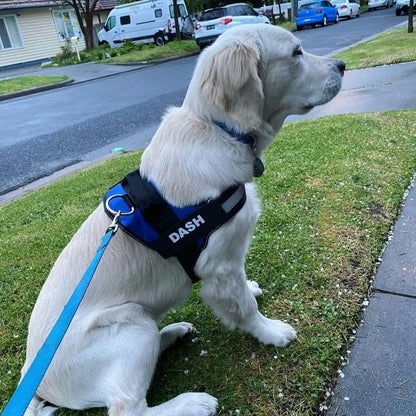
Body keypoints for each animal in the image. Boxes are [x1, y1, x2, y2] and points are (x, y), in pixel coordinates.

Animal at [20, 23, 344, 416]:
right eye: (296, 52)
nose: (343, 65)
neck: (218, 131)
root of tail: (36, 384)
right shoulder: (219, 264)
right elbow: (245, 307)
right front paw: (270, 332)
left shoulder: (229, 261)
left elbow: (242, 290)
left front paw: (250, 290)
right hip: (131, 323)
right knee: (129, 408)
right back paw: (194, 402)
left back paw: (173, 333)